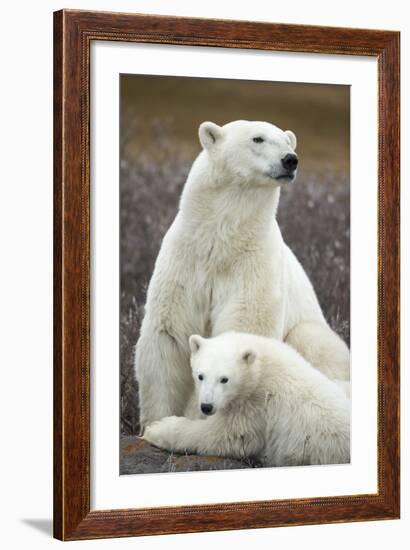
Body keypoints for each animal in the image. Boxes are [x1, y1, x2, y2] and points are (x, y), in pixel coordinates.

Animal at [135, 121, 350, 432]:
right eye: (258, 138)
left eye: (287, 141)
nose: (291, 159)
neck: (220, 241)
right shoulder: (185, 261)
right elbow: (169, 335)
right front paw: (155, 423)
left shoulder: (252, 264)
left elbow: (242, 326)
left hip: (314, 335)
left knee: (311, 342)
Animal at [143, 332, 350, 470]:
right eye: (200, 376)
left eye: (224, 379)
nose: (207, 406)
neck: (260, 366)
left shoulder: (257, 404)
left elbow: (227, 435)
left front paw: (156, 429)